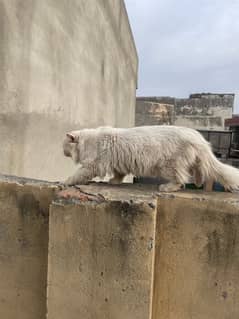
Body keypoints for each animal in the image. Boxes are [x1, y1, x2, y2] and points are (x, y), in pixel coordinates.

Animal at [62, 125, 239, 192]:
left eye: (64, 146)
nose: (63, 152)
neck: (86, 141)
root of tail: (197, 136)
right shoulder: (118, 163)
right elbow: (119, 174)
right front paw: (114, 181)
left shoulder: (93, 164)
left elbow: (78, 174)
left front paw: (66, 181)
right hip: (191, 159)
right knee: (199, 171)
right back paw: (198, 183)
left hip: (169, 164)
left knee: (181, 178)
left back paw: (168, 187)